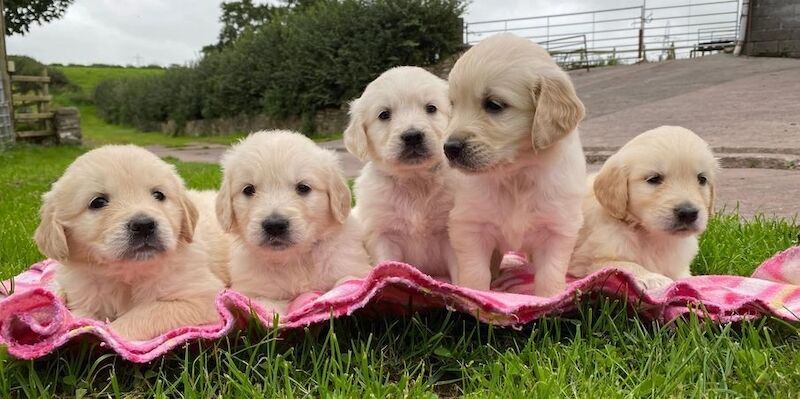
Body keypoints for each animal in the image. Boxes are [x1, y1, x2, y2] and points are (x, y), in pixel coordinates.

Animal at [34, 146, 228, 340]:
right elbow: (80, 316)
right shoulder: (85, 296)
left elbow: (143, 314)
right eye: (98, 202)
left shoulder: (202, 295)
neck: (127, 273)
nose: (144, 225)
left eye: (158, 195)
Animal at [216, 130, 372, 314]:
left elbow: (347, 282)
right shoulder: (252, 292)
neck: (295, 260)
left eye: (303, 187)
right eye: (248, 190)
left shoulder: (351, 267)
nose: (274, 225)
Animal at [344, 66, 456, 278]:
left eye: (431, 108)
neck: (415, 180)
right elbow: (386, 264)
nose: (412, 136)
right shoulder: (382, 234)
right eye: (384, 115)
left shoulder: (450, 230)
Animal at [444, 33, 588, 296]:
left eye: (494, 105)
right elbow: (476, 272)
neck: (516, 175)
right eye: (453, 105)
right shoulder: (470, 225)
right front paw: (476, 295)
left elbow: (549, 275)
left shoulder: (558, 229)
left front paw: (549, 300)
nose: (449, 148)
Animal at [568, 126, 720, 290]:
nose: (688, 213)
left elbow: (684, 276)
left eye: (702, 179)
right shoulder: (588, 262)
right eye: (654, 179)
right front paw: (652, 277)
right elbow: (625, 266)